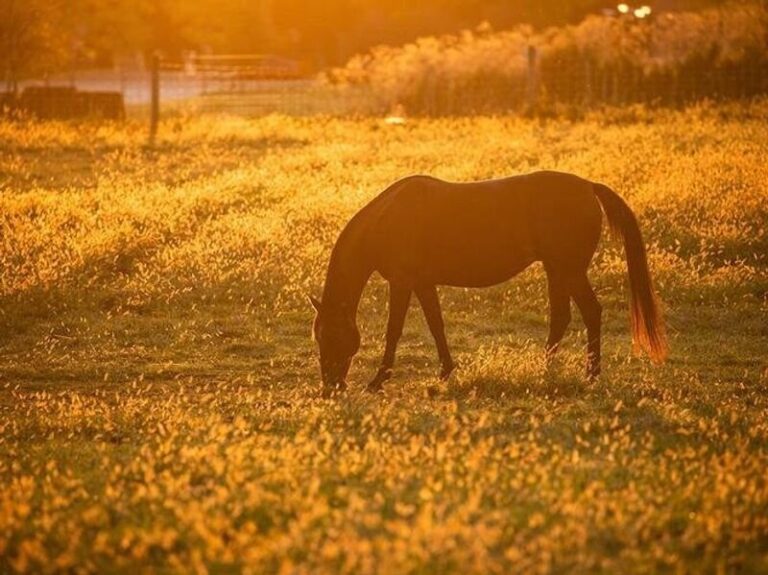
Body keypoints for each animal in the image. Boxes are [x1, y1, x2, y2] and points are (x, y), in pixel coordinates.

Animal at [310, 169, 664, 398]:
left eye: (330, 336)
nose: (330, 387)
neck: (387, 219)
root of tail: (588, 186)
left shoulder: (402, 282)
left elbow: (393, 330)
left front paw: (378, 380)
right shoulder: (423, 284)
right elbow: (436, 325)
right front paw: (446, 371)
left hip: (570, 270)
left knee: (590, 312)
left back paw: (590, 374)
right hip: (557, 270)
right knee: (562, 317)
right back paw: (547, 369)